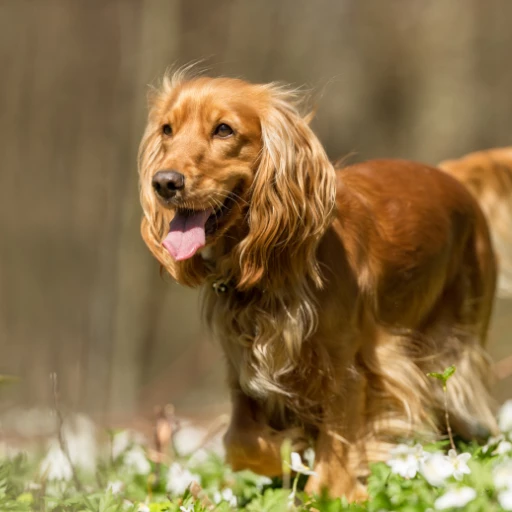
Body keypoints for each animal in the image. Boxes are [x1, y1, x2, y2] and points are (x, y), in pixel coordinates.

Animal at [138, 72, 512, 500]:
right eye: (167, 129)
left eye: (224, 129)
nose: (164, 182)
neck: (268, 273)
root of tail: (451, 175)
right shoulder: (244, 373)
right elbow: (244, 443)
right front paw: (290, 447)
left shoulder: (350, 371)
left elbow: (335, 456)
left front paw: (330, 491)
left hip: (450, 351)